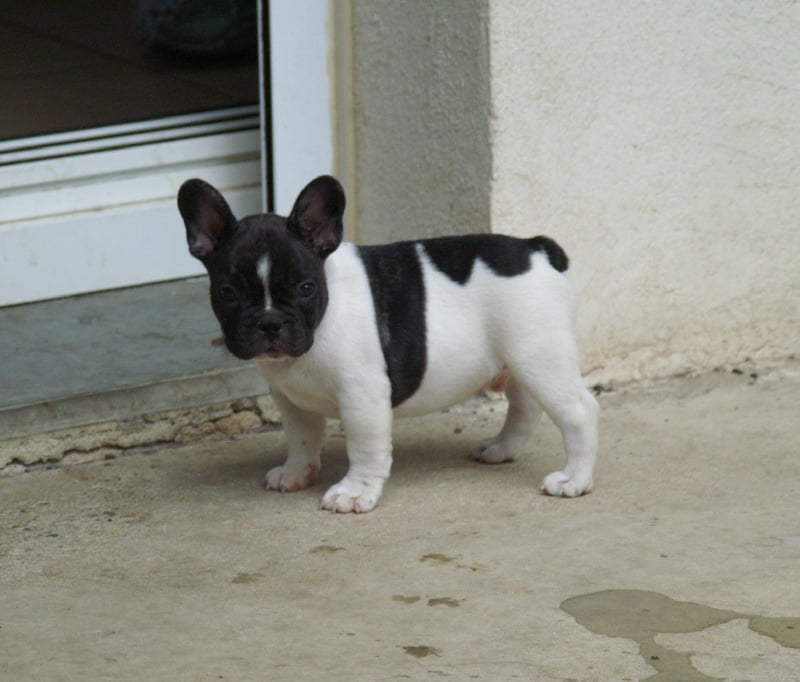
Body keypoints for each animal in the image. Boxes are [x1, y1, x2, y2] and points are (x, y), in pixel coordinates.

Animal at [178, 175, 596, 510]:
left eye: (305, 288)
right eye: (227, 292)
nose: (269, 322)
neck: (323, 320)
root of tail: (537, 248)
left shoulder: (362, 396)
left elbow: (364, 447)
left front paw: (354, 492)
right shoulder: (291, 399)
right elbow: (301, 437)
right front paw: (296, 472)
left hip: (540, 356)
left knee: (579, 411)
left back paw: (573, 479)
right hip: (521, 359)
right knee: (525, 407)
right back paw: (499, 449)